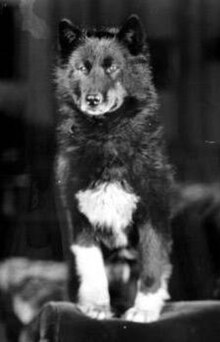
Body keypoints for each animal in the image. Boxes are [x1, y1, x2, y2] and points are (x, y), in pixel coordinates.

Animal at [54, 14, 174, 324]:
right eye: (82, 68)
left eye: (112, 67)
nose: (92, 100)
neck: (106, 134)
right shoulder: (81, 218)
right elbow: (92, 267)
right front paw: (97, 305)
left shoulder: (152, 214)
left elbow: (152, 266)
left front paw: (145, 309)